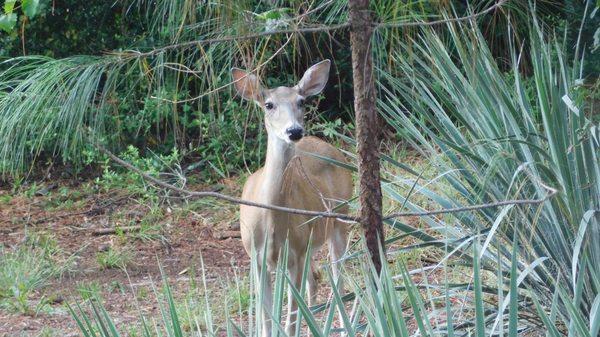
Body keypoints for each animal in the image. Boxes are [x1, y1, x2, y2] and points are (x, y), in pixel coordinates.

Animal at [230, 59, 352, 334]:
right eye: (268, 104)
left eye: (302, 101)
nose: (294, 131)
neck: (271, 221)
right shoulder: (256, 257)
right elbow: (267, 322)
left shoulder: (294, 254)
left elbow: (291, 321)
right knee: (315, 279)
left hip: (340, 220)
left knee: (338, 280)